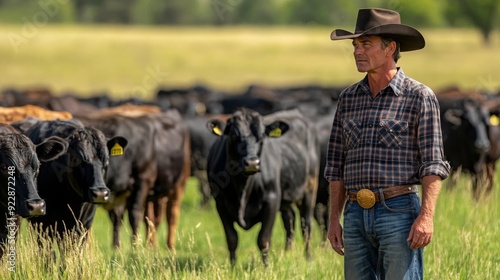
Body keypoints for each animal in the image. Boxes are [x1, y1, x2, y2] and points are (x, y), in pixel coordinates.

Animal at [205, 108, 318, 266]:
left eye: (263, 135)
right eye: (233, 135)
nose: (252, 163)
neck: (243, 188)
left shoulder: (272, 200)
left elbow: (263, 240)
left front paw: (266, 267)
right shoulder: (220, 204)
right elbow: (232, 239)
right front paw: (233, 266)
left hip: (309, 188)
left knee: (306, 224)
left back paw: (308, 257)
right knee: (289, 219)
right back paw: (287, 252)